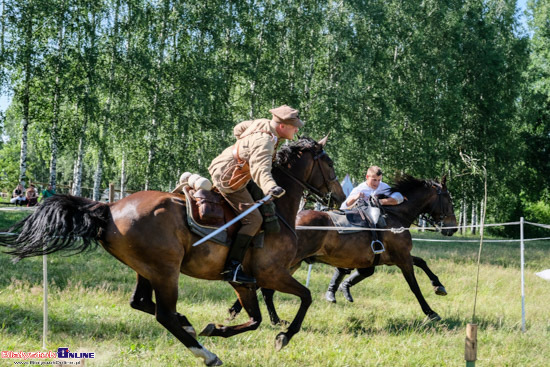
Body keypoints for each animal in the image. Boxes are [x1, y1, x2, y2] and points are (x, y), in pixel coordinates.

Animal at [0, 137, 344, 366]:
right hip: (166, 271)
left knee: (140, 302)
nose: (339, 198)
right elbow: (304, 298)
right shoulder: (270, 274)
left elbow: (256, 318)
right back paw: (205, 353)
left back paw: (188, 322)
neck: (277, 211)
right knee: (163, 314)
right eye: (328, 163)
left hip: (147, 269)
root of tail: (108, 207)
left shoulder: (244, 282)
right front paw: (284, 336)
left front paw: (216, 328)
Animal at [227, 175, 458, 324]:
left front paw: (439, 285)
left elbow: (422, 262)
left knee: (265, 288)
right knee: (264, 287)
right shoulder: (402, 259)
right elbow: (415, 286)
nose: (453, 228)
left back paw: (254, 314)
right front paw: (431, 311)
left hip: (290, 264)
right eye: (448, 199)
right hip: (286, 264)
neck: (394, 216)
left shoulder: (394, 258)